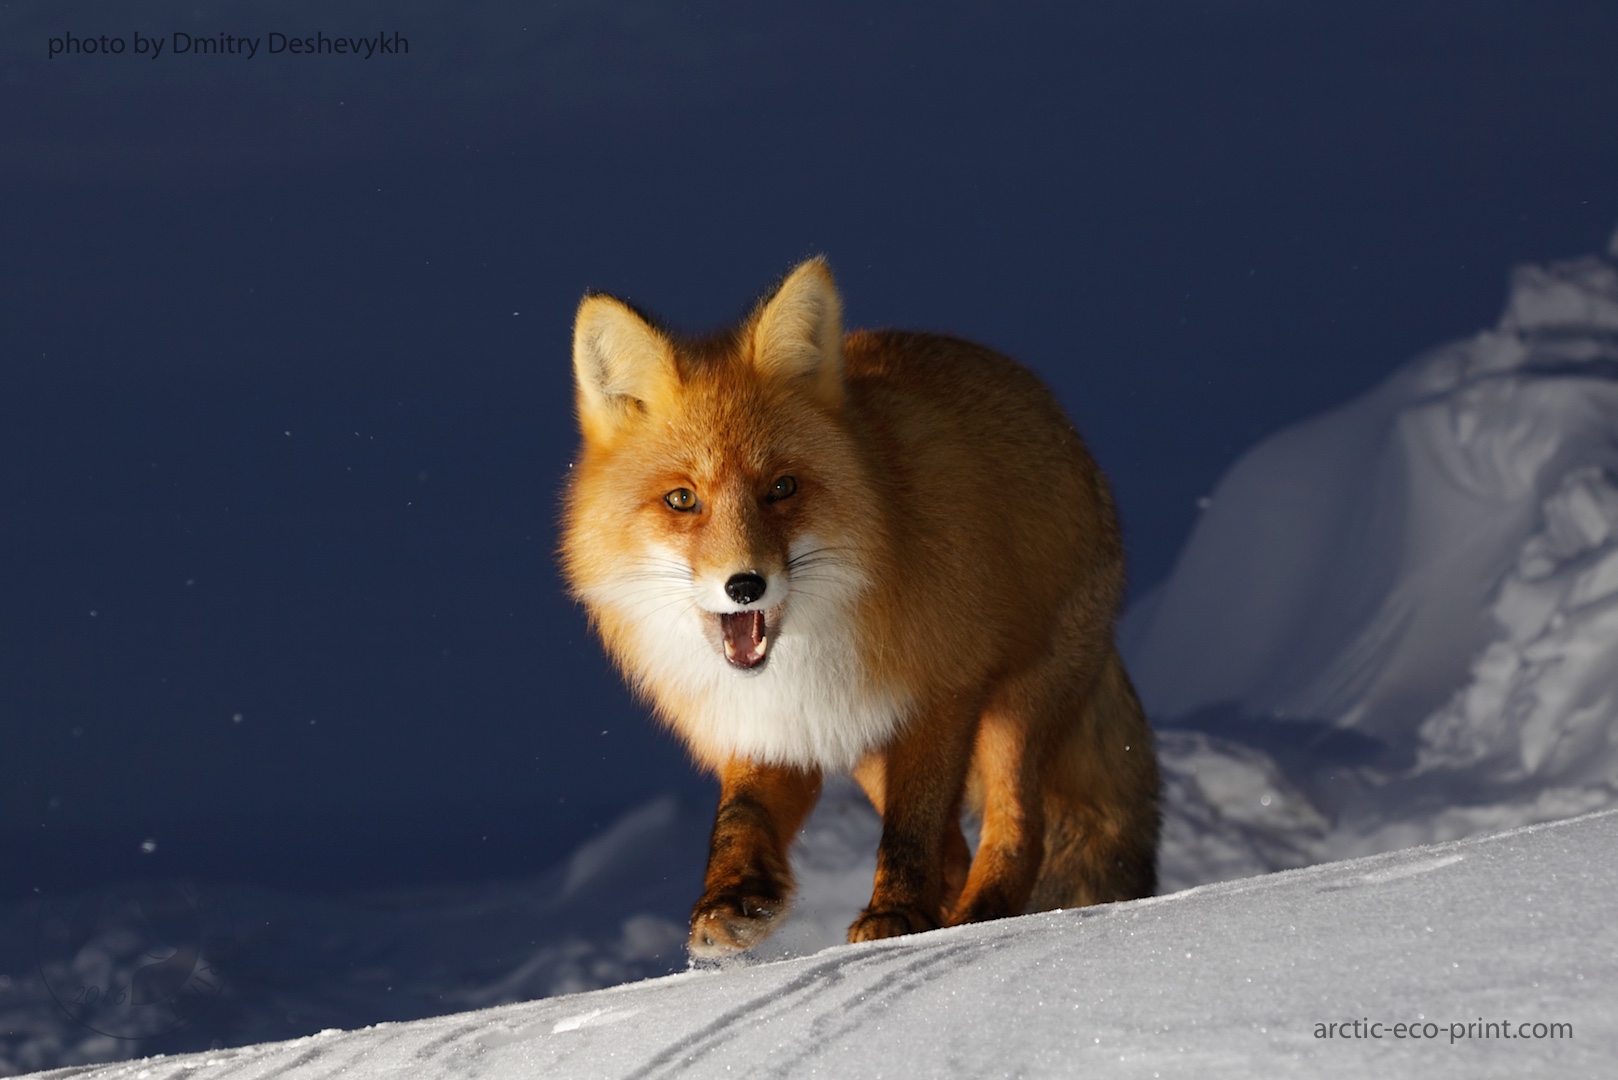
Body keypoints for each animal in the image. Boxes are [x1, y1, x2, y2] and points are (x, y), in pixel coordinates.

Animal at [563, 259, 1158, 952]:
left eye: (782, 488)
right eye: (682, 499)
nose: (745, 586)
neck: (809, 646)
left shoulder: (941, 696)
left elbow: (910, 831)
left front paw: (895, 915)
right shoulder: (770, 724)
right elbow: (740, 816)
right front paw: (732, 899)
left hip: (1013, 709)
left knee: (1016, 834)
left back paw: (975, 919)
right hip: (871, 742)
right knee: (956, 852)